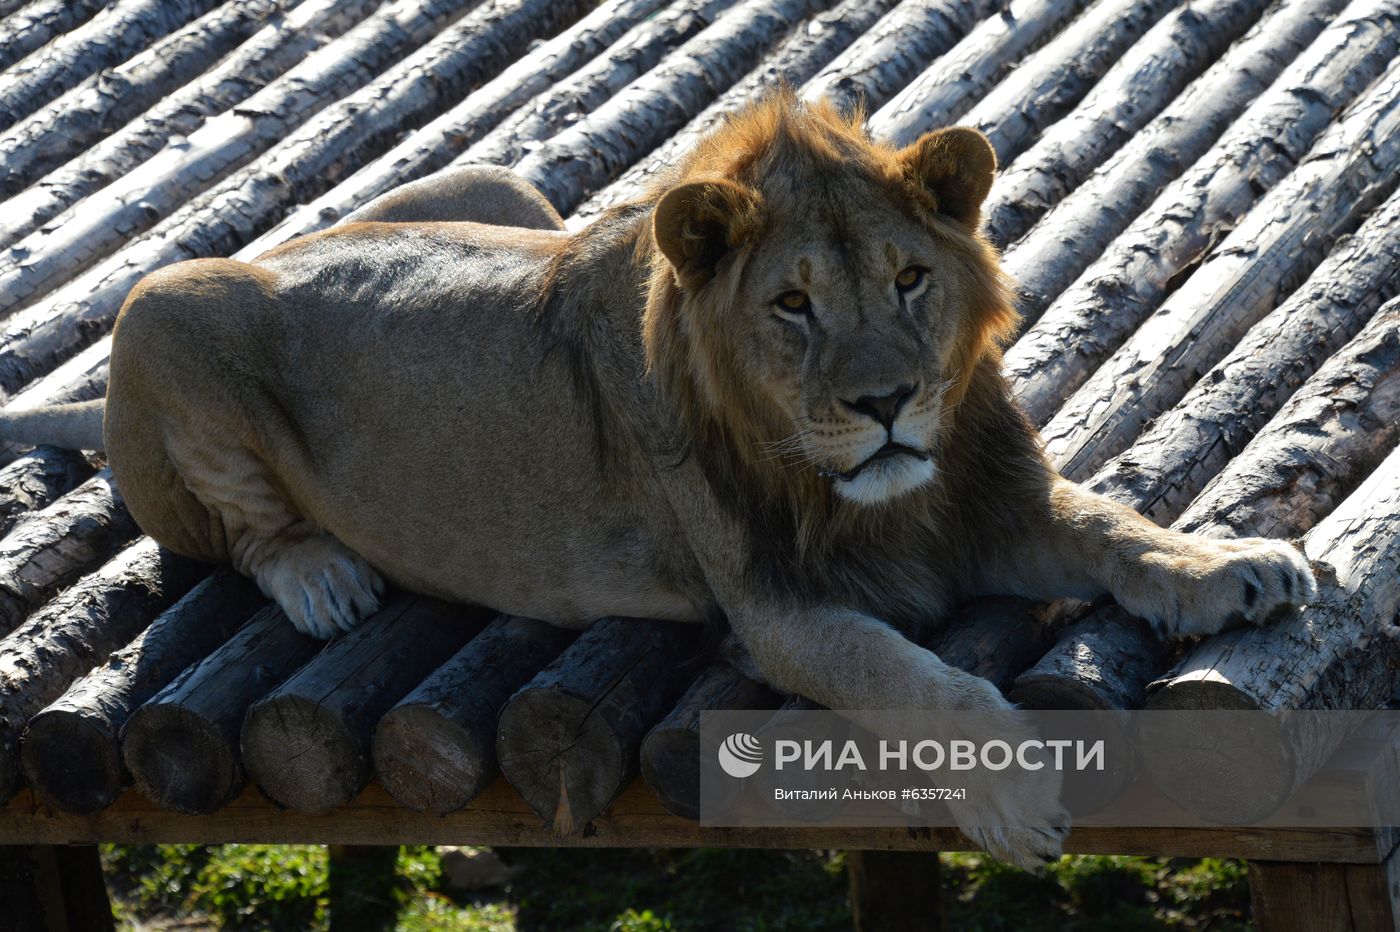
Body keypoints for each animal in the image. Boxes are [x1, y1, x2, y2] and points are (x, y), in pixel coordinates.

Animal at [0, 93, 1314, 868]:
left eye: (907, 280)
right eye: (791, 305)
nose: (887, 403)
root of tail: (273, 246)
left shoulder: (985, 504)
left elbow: (1112, 525)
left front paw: (1232, 564)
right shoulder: (775, 607)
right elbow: (910, 677)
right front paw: (1012, 796)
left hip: (498, 187)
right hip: (163, 302)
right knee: (244, 528)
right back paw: (323, 578)